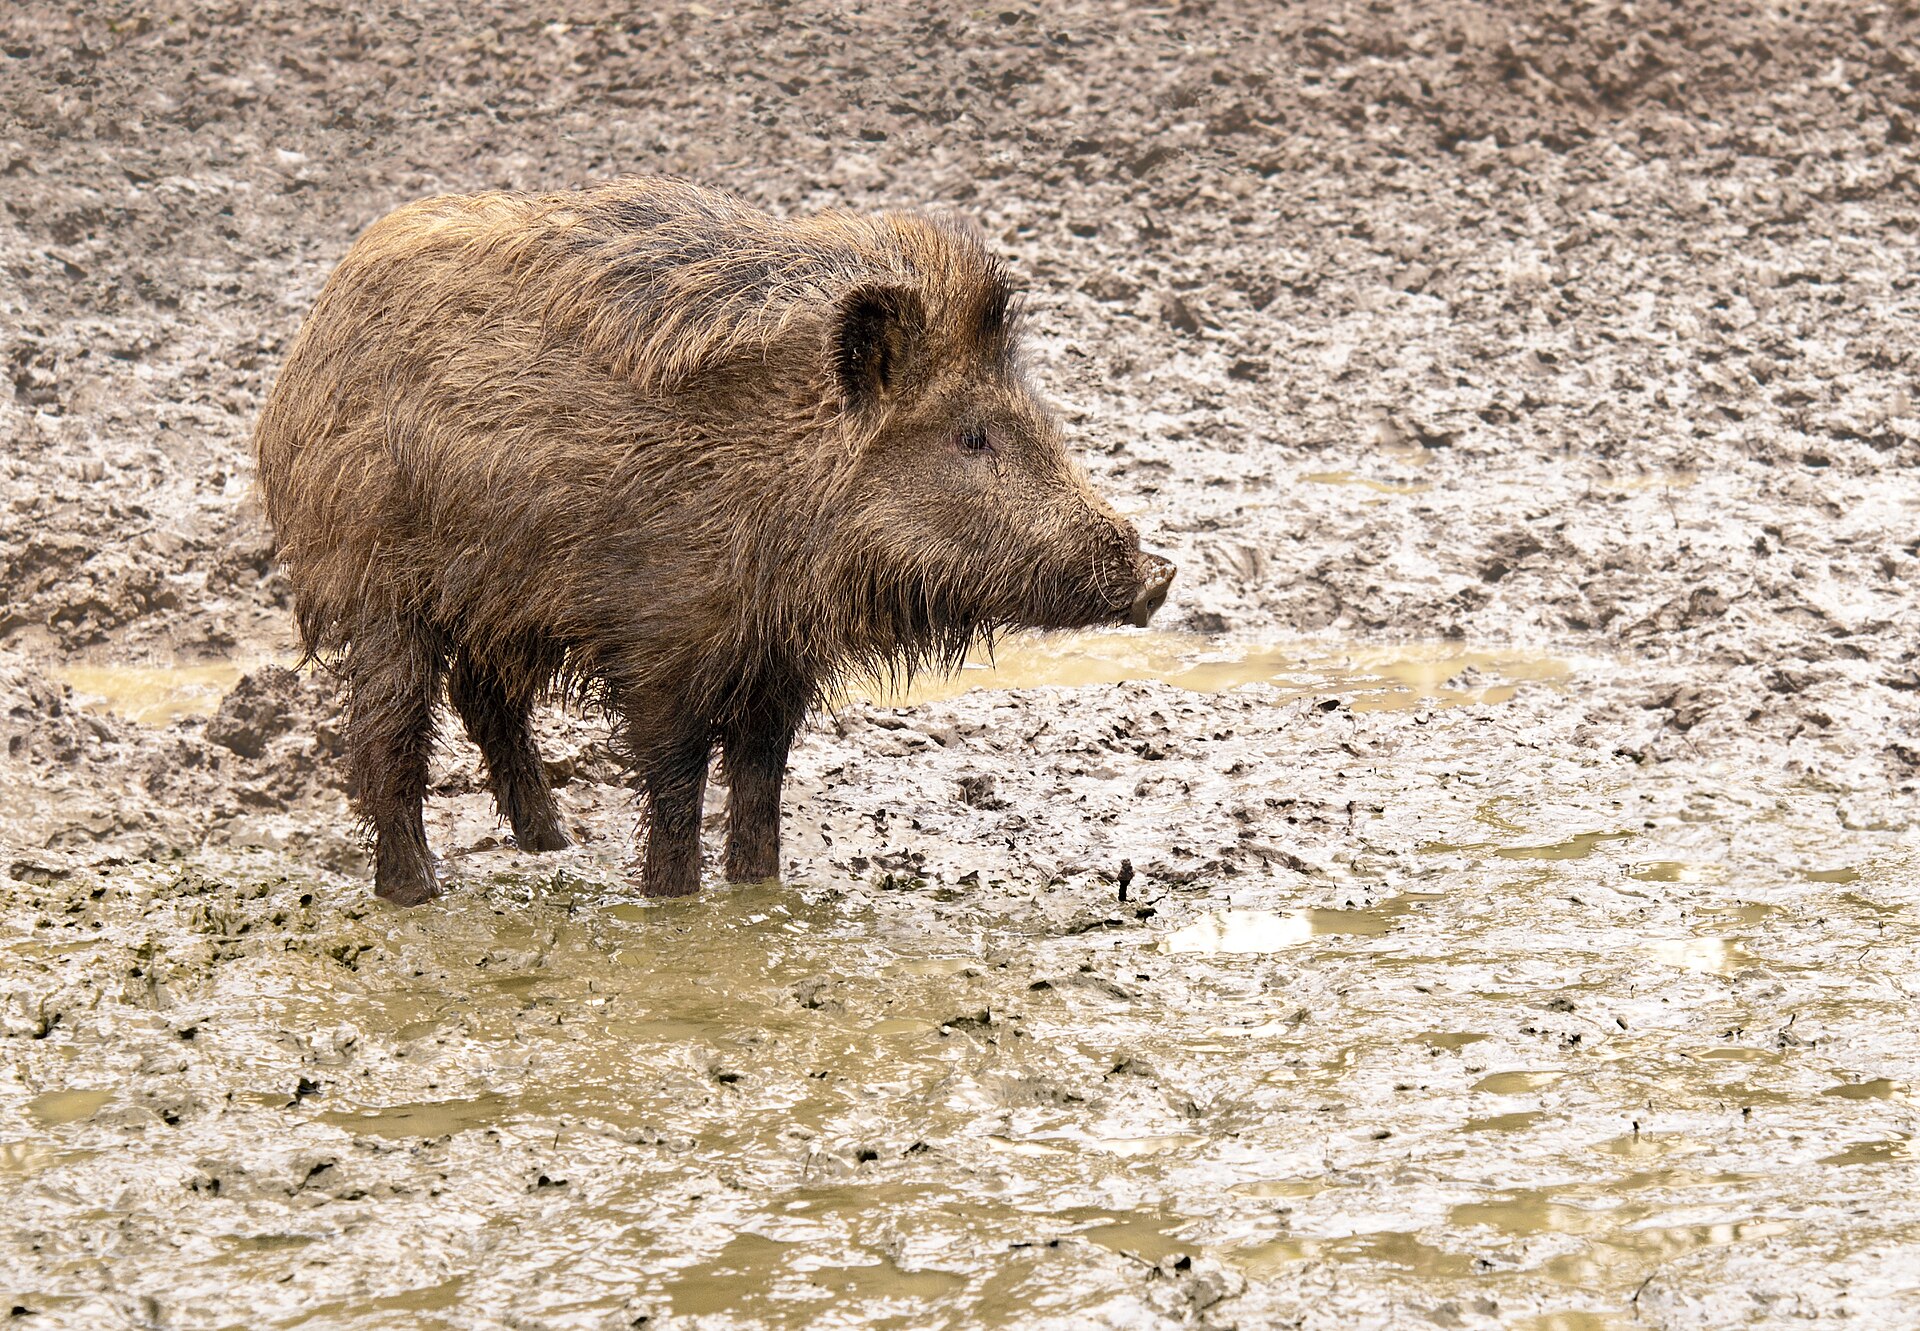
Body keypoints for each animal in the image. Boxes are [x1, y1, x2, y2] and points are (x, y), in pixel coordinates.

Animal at [253, 177, 1175, 904]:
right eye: (972, 436)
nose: (1156, 572)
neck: (781, 474)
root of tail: (310, 341)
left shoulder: (776, 662)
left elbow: (761, 780)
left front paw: (759, 892)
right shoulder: (663, 642)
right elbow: (675, 781)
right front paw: (674, 904)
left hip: (496, 600)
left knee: (485, 700)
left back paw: (553, 844)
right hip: (380, 583)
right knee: (388, 733)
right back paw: (416, 892)